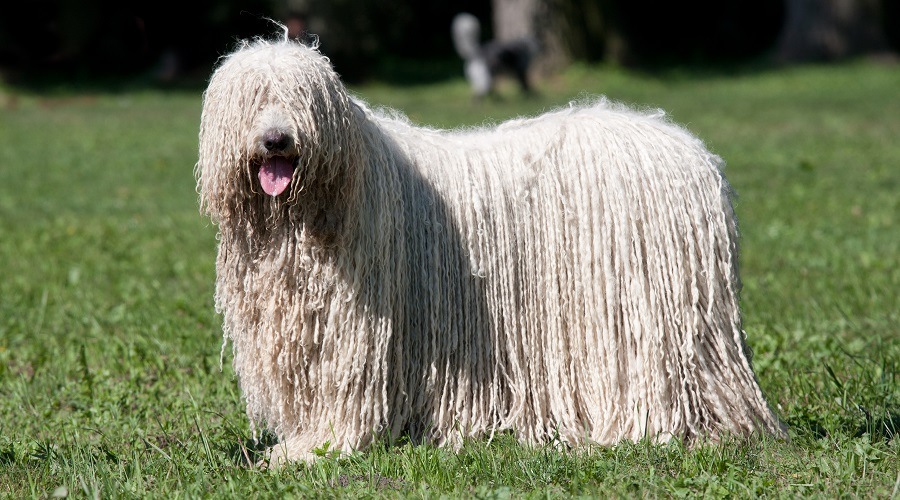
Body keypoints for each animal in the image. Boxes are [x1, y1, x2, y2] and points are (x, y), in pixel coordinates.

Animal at [199, 36, 788, 464]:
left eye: (302, 98)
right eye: (252, 98)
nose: (277, 139)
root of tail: (695, 155)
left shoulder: (352, 332)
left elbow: (342, 395)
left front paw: (311, 450)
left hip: (648, 315)